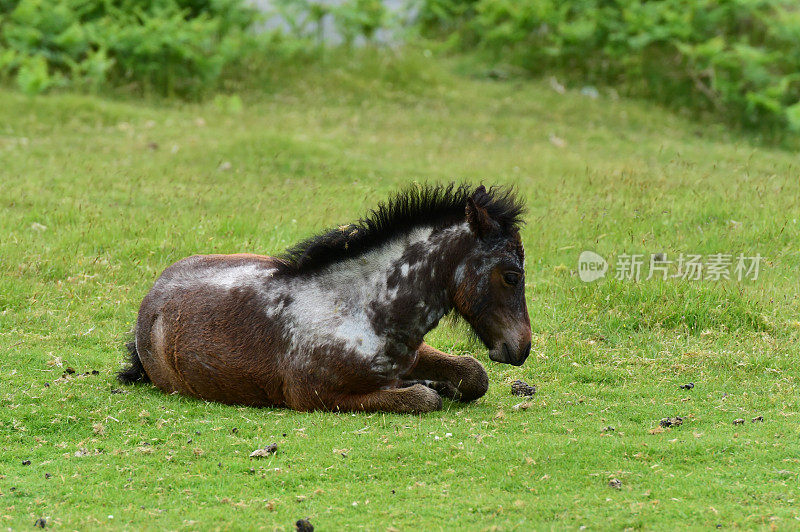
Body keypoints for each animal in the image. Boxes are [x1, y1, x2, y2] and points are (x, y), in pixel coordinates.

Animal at [119, 185, 532, 414]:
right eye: (512, 276)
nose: (522, 347)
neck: (361, 309)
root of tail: (153, 295)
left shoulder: (415, 354)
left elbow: (474, 374)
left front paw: (442, 383)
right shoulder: (314, 395)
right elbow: (421, 398)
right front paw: (430, 388)